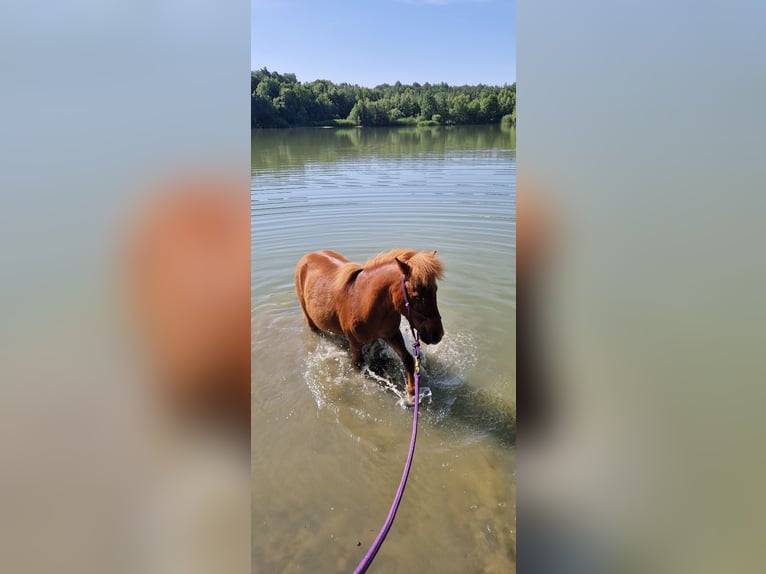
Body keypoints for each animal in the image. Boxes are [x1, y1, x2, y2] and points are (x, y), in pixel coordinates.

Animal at [294, 249, 445, 401]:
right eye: (417, 297)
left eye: (435, 290)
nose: (437, 334)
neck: (366, 303)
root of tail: (308, 256)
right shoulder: (355, 344)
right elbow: (360, 367)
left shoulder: (392, 334)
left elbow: (408, 359)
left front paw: (412, 393)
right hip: (310, 319)